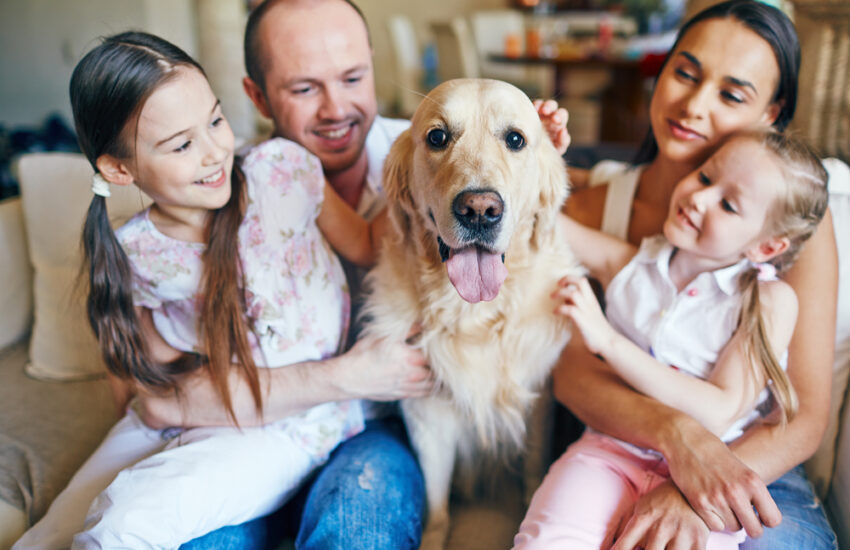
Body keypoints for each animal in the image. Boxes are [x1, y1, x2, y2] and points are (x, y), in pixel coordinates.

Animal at [362, 78, 580, 550]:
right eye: (437, 137)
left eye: (515, 139)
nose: (480, 209)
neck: (474, 316)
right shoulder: (427, 415)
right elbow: (437, 504)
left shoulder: (538, 400)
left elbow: (533, 471)